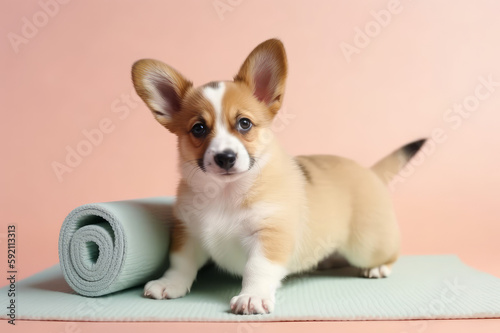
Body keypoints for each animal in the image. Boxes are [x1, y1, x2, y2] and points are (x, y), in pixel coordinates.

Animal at [132, 39, 426, 314]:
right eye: (198, 128)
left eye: (244, 123)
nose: (225, 158)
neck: (226, 193)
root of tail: (369, 171)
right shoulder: (188, 233)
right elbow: (180, 263)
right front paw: (169, 284)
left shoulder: (270, 235)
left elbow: (257, 269)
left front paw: (252, 297)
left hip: (367, 246)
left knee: (388, 253)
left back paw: (378, 268)